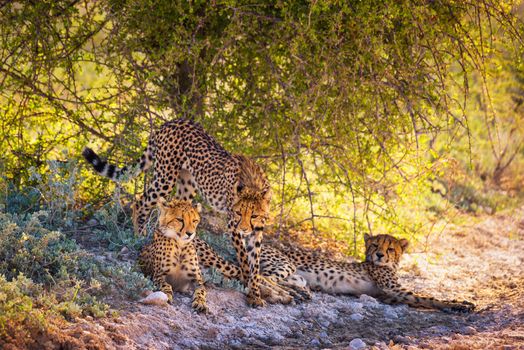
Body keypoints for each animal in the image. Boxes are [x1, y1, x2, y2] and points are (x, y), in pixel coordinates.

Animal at [82, 118, 270, 306]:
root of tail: (172, 121)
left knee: (173, 207)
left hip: (187, 184)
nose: (244, 229)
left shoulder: (257, 230)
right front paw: (248, 285)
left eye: (254, 215)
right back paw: (140, 236)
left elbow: (254, 262)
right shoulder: (233, 225)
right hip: (166, 177)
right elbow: (244, 259)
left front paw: (255, 293)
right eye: (239, 213)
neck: (253, 184)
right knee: (141, 202)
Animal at [195, 235, 474, 312]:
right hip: (285, 265)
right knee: (260, 278)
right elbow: (429, 297)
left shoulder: (389, 295)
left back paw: (299, 294)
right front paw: (459, 304)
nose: (379, 255)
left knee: (276, 281)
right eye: (375, 245)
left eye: (390, 248)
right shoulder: (394, 290)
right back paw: (283, 296)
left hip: (295, 274)